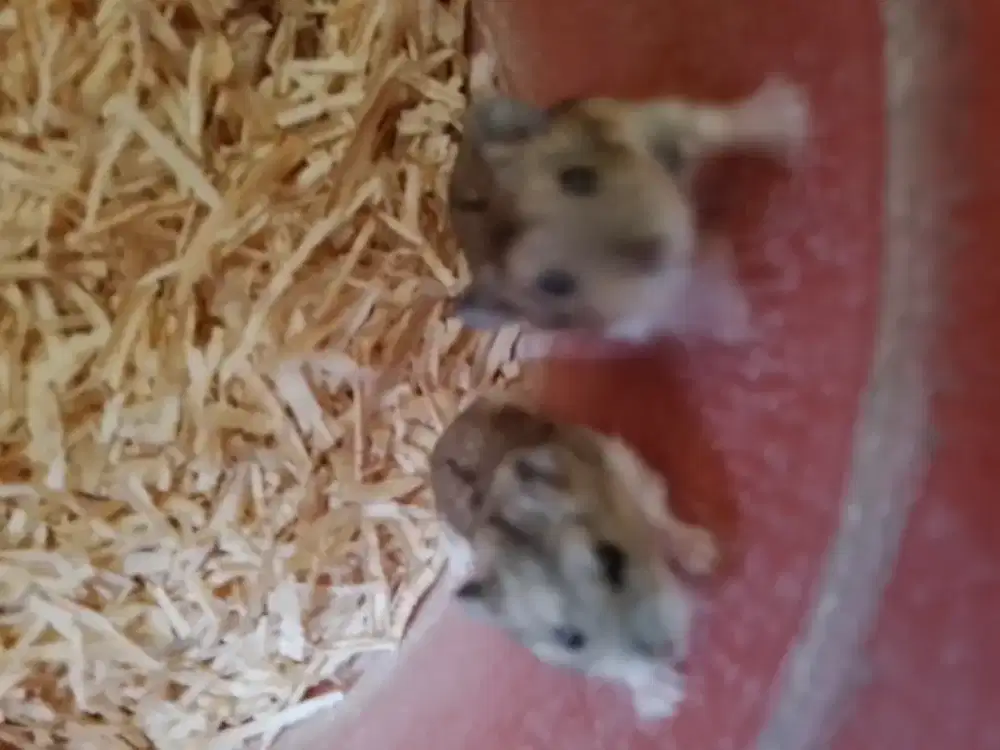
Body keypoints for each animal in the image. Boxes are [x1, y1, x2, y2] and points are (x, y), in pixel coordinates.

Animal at [429, 394, 720, 720]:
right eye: (571, 640)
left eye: (613, 561)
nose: (673, 654)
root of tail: (446, 431)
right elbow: (619, 664)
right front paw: (666, 702)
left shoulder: (620, 473)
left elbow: (655, 517)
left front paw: (707, 554)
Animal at [446, 52, 808, 344]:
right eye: (556, 284)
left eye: (578, 178)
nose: (660, 250)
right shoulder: (645, 310)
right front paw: (738, 319)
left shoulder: (660, 122)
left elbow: (722, 125)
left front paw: (795, 118)